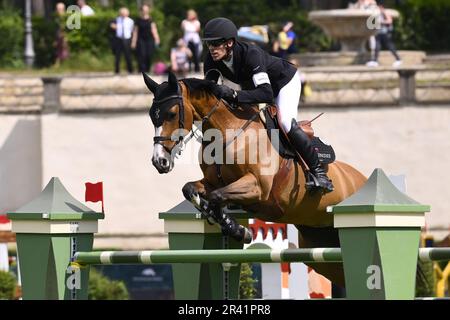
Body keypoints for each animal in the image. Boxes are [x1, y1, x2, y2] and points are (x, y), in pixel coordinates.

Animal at [142, 72, 368, 284]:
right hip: (320, 246)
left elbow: (217, 196)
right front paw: (231, 225)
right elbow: (190, 189)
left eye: (171, 114)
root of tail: (362, 178)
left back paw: (321, 180)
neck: (227, 132)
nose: (159, 161)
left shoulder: (257, 187)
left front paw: (237, 229)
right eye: (152, 117)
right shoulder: (213, 183)